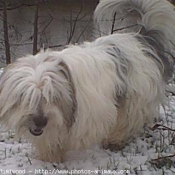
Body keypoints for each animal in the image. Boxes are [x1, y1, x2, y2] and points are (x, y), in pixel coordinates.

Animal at [0, 0, 175, 163]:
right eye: (25, 97)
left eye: (53, 96)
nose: (40, 121)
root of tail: (142, 38)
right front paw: (49, 158)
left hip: (135, 99)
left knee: (127, 121)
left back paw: (114, 139)